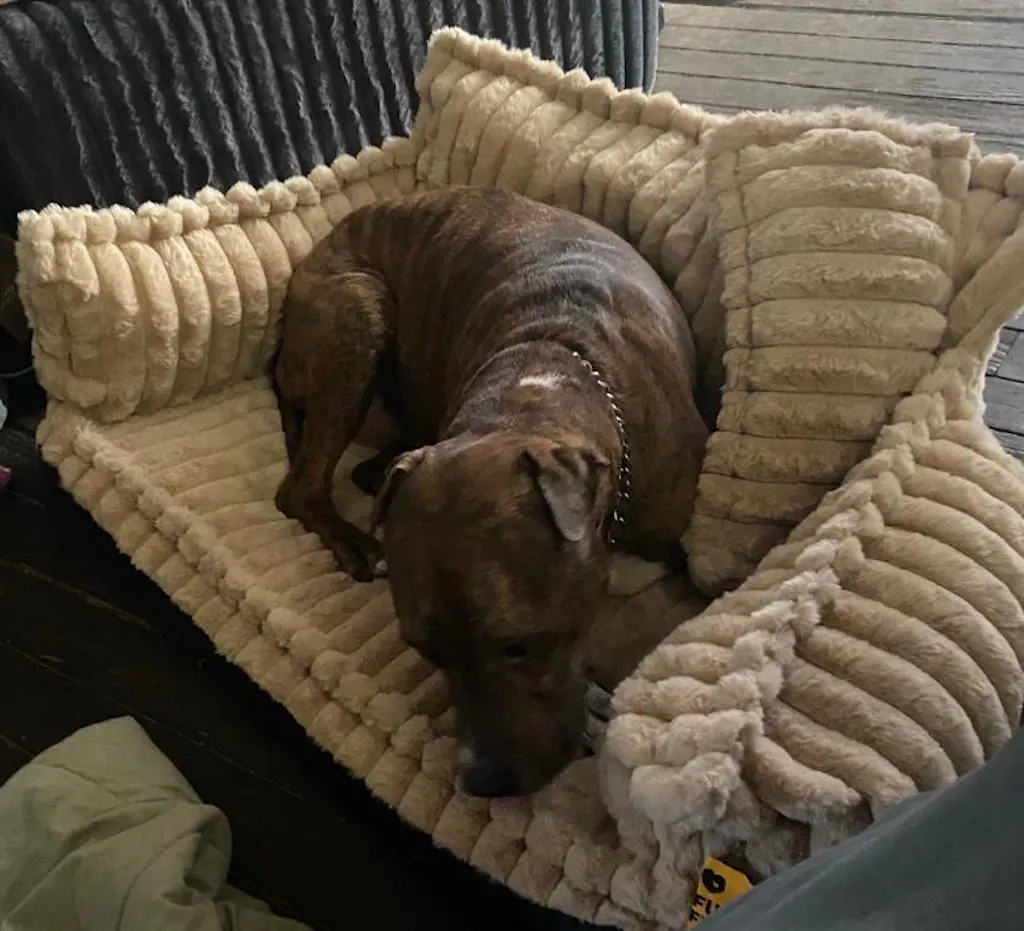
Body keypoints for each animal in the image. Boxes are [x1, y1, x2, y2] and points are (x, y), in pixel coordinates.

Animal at [273, 187, 708, 796]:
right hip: (355, 313)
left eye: (518, 644)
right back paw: (354, 539)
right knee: (301, 486)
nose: (481, 779)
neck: (542, 376)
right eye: (424, 648)